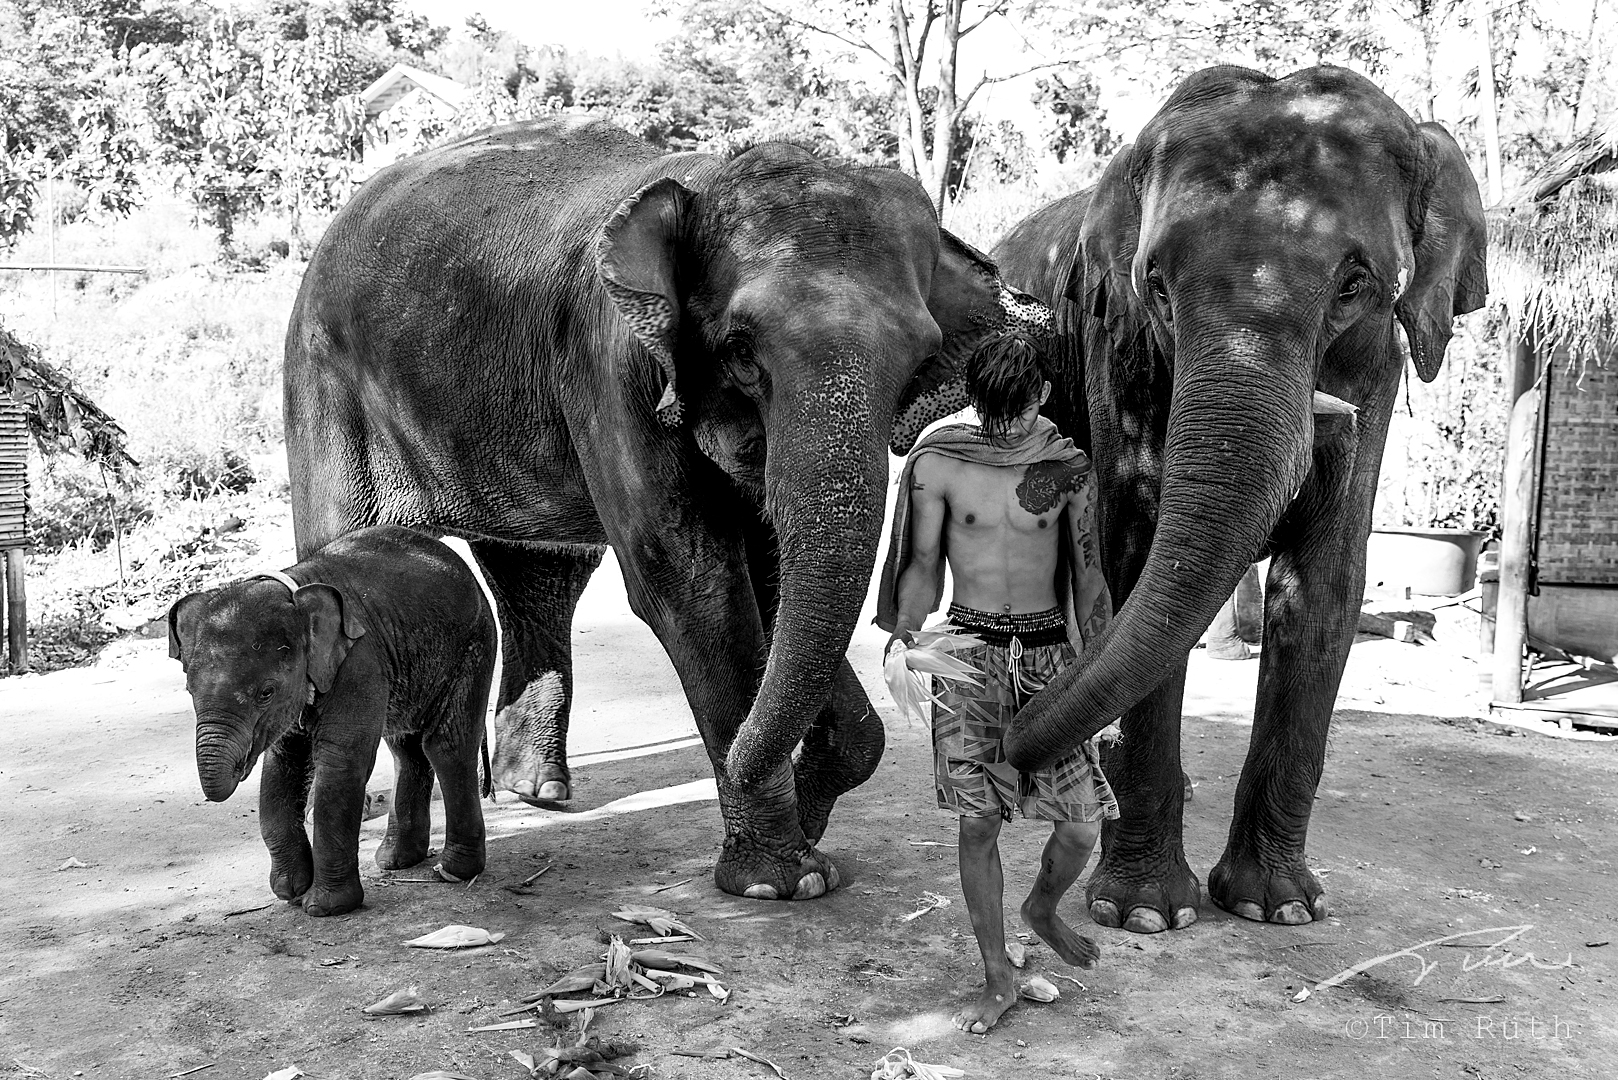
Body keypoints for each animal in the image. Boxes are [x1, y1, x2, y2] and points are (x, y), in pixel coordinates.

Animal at [168, 527, 498, 919]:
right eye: (188, 689)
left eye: (266, 692)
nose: (237, 764)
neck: (295, 588)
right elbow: (283, 765)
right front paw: (290, 890)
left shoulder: (360, 663)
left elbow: (341, 761)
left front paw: (323, 907)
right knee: (407, 749)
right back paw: (394, 860)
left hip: (474, 645)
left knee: (445, 746)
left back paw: (453, 871)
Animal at [286, 114, 1048, 900]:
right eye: (739, 350)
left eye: (919, 361)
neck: (707, 178)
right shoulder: (613, 366)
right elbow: (692, 580)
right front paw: (780, 879)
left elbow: (771, 579)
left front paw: (807, 818)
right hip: (325, 381)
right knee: (351, 547)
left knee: (541, 575)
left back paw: (535, 792)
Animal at [977, 65, 1482, 932]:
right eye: (1155, 286)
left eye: (1355, 284)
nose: (1007, 746)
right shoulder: (1121, 353)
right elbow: (1135, 552)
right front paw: (1142, 914)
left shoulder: (1378, 369)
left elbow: (1327, 582)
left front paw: (1279, 906)